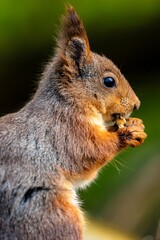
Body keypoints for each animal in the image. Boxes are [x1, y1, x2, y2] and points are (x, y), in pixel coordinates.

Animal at [0, 5, 147, 240]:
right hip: (53, 213)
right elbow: (89, 153)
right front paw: (125, 134)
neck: (68, 102)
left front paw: (134, 124)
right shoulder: (66, 131)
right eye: (109, 81)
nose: (137, 105)